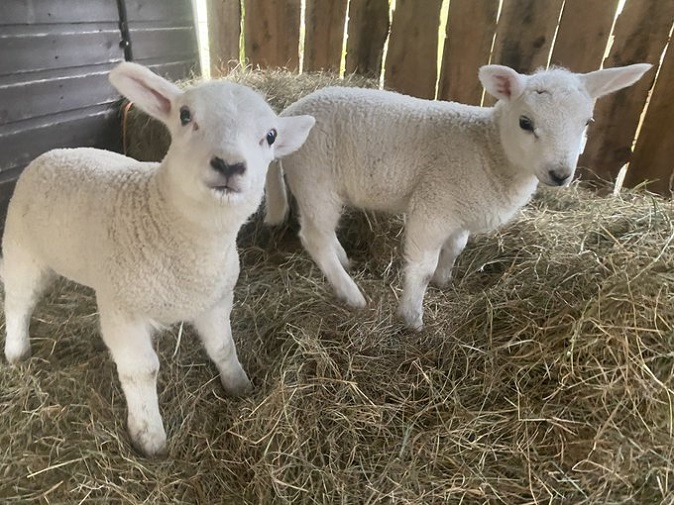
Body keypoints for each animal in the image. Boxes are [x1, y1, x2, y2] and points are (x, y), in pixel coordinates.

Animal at [1, 61, 316, 454]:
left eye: (271, 135)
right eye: (185, 115)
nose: (229, 165)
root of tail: (53, 151)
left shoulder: (215, 301)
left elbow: (222, 347)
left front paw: (239, 385)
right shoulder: (125, 312)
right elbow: (142, 371)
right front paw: (149, 437)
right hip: (21, 250)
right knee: (18, 302)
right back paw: (16, 351)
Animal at [264, 63, 652, 328]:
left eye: (587, 123)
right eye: (525, 123)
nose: (560, 174)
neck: (487, 147)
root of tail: (287, 116)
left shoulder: (461, 206)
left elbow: (456, 248)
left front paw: (445, 280)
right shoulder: (433, 204)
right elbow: (421, 267)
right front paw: (412, 317)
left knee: (323, 232)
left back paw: (344, 261)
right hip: (315, 176)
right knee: (314, 237)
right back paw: (351, 293)